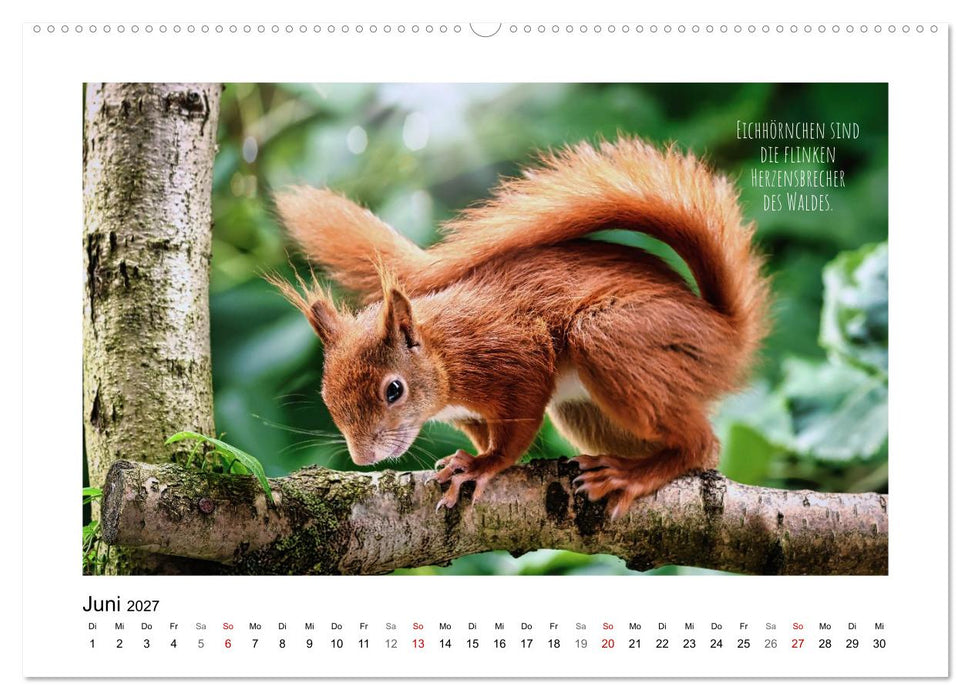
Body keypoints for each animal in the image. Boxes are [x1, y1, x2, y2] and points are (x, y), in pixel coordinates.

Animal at [269, 137, 769, 518]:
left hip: (612, 336)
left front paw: (482, 465)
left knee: (702, 445)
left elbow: (517, 428)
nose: (364, 458)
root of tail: (727, 334)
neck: (445, 352)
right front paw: (464, 456)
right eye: (326, 397)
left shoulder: (515, 356)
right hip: (589, 411)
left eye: (394, 390)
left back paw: (632, 476)